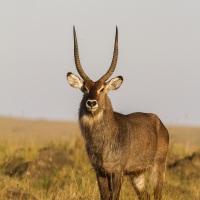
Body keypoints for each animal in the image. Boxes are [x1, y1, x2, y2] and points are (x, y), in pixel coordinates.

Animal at [67, 27, 169, 200]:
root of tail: (159, 122)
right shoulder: (100, 172)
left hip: (157, 166)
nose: (91, 103)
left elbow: (115, 196)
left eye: (102, 89)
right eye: (85, 88)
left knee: (157, 194)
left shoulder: (117, 171)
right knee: (145, 196)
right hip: (137, 174)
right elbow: (104, 196)